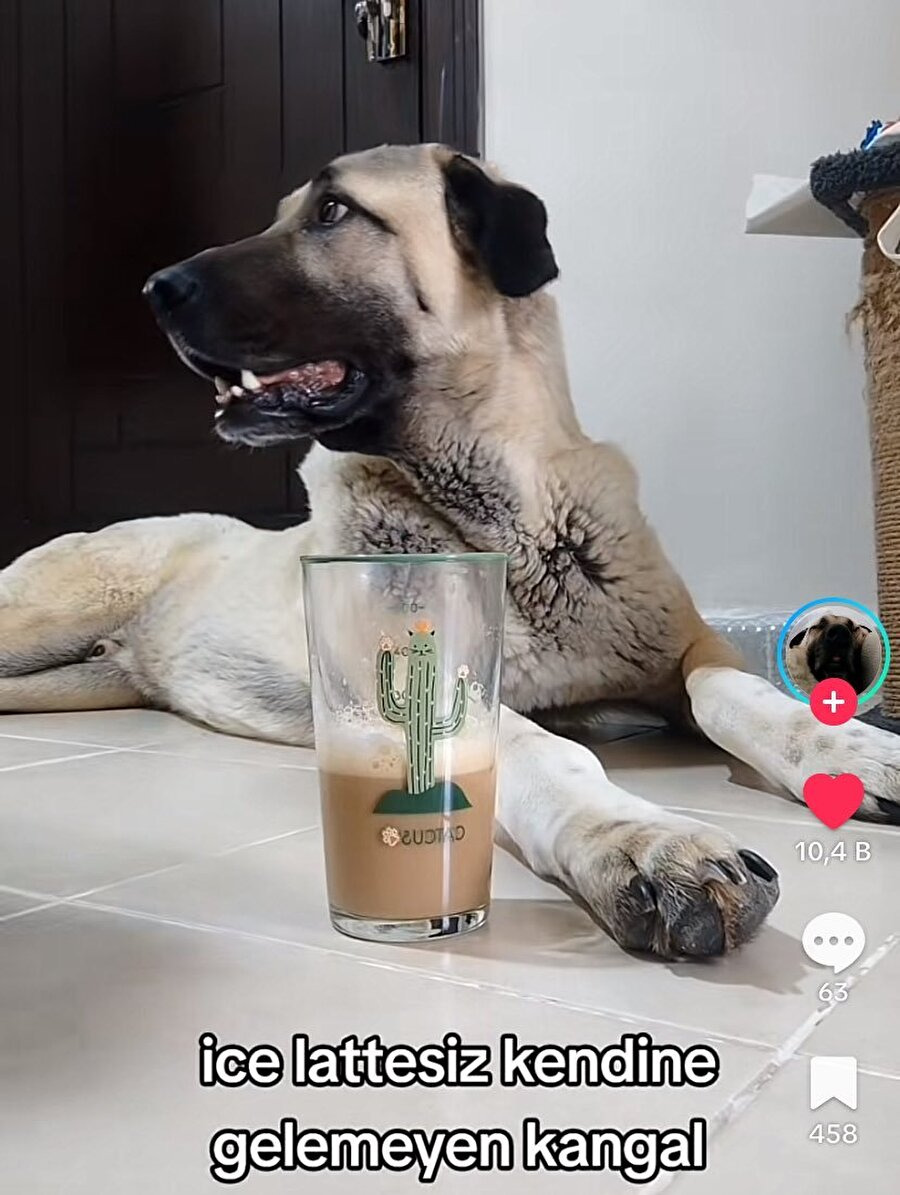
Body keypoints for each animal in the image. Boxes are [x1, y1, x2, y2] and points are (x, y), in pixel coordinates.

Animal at [2, 144, 899, 960]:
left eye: (332, 211)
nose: (154, 290)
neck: (507, 518)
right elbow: (549, 750)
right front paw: (638, 837)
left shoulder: (687, 642)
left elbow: (732, 694)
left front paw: (848, 746)